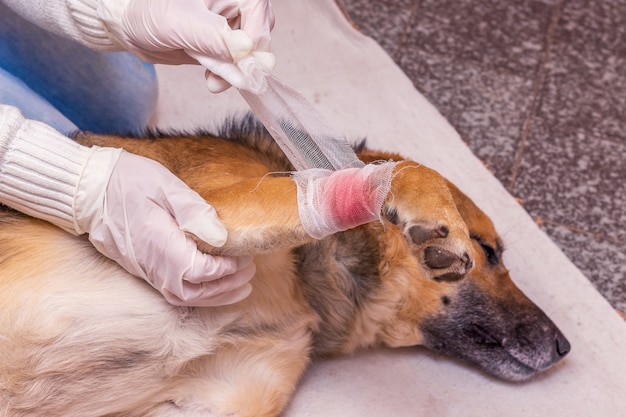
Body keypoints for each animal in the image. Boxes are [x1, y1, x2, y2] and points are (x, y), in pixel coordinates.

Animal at [0, 118, 564, 416]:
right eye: (489, 252)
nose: (565, 348)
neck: (307, 290)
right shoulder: (206, 211)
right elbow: (401, 172)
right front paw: (418, 205)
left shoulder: (216, 401)